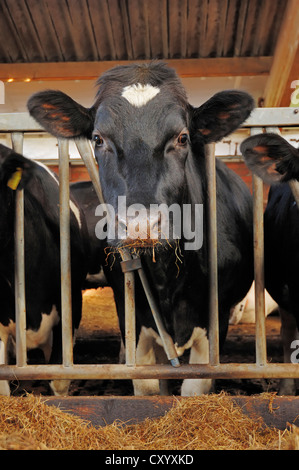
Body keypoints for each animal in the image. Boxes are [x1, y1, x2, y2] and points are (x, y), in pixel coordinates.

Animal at [27, 60, 255, 394]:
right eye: (98, 139)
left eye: (183, 137)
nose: (140, 224)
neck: (167, 278)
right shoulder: (133, 316)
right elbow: (148, 387)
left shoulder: (216, 320)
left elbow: (194, 389)